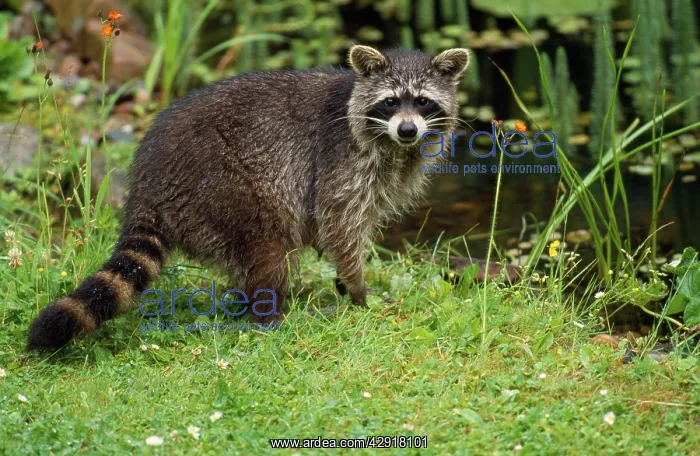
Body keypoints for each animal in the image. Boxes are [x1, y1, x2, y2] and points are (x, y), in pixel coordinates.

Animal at [27, 45, 471, 350]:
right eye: (391, 101)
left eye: (423, 101)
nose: (408, 130)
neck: (392, 142)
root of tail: (148, 187)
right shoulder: (340, 161)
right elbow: (339, 222)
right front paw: (358, 289)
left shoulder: (387, 175)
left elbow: (355, 224)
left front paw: (347, 285)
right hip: (223, 185)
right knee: (269, 247)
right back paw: (269, 313)